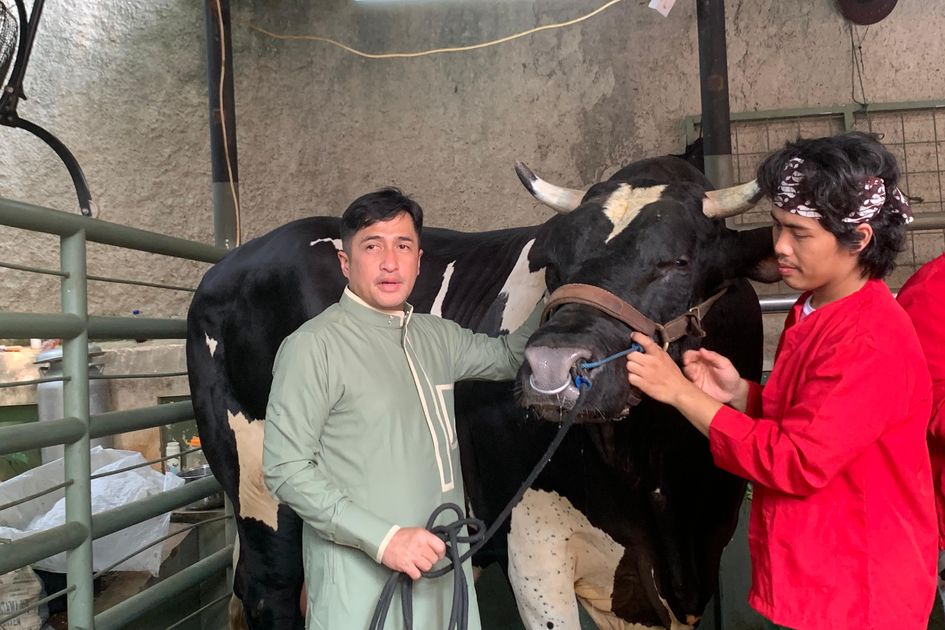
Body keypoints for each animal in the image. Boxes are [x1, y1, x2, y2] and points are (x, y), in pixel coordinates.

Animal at [185, 153, 777, 630]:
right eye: (555, 264)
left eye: (678, 261)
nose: (551, 366)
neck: (658, 479)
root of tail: (229, 265)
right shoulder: (534, 546)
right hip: (258, 480)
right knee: (270, 590)